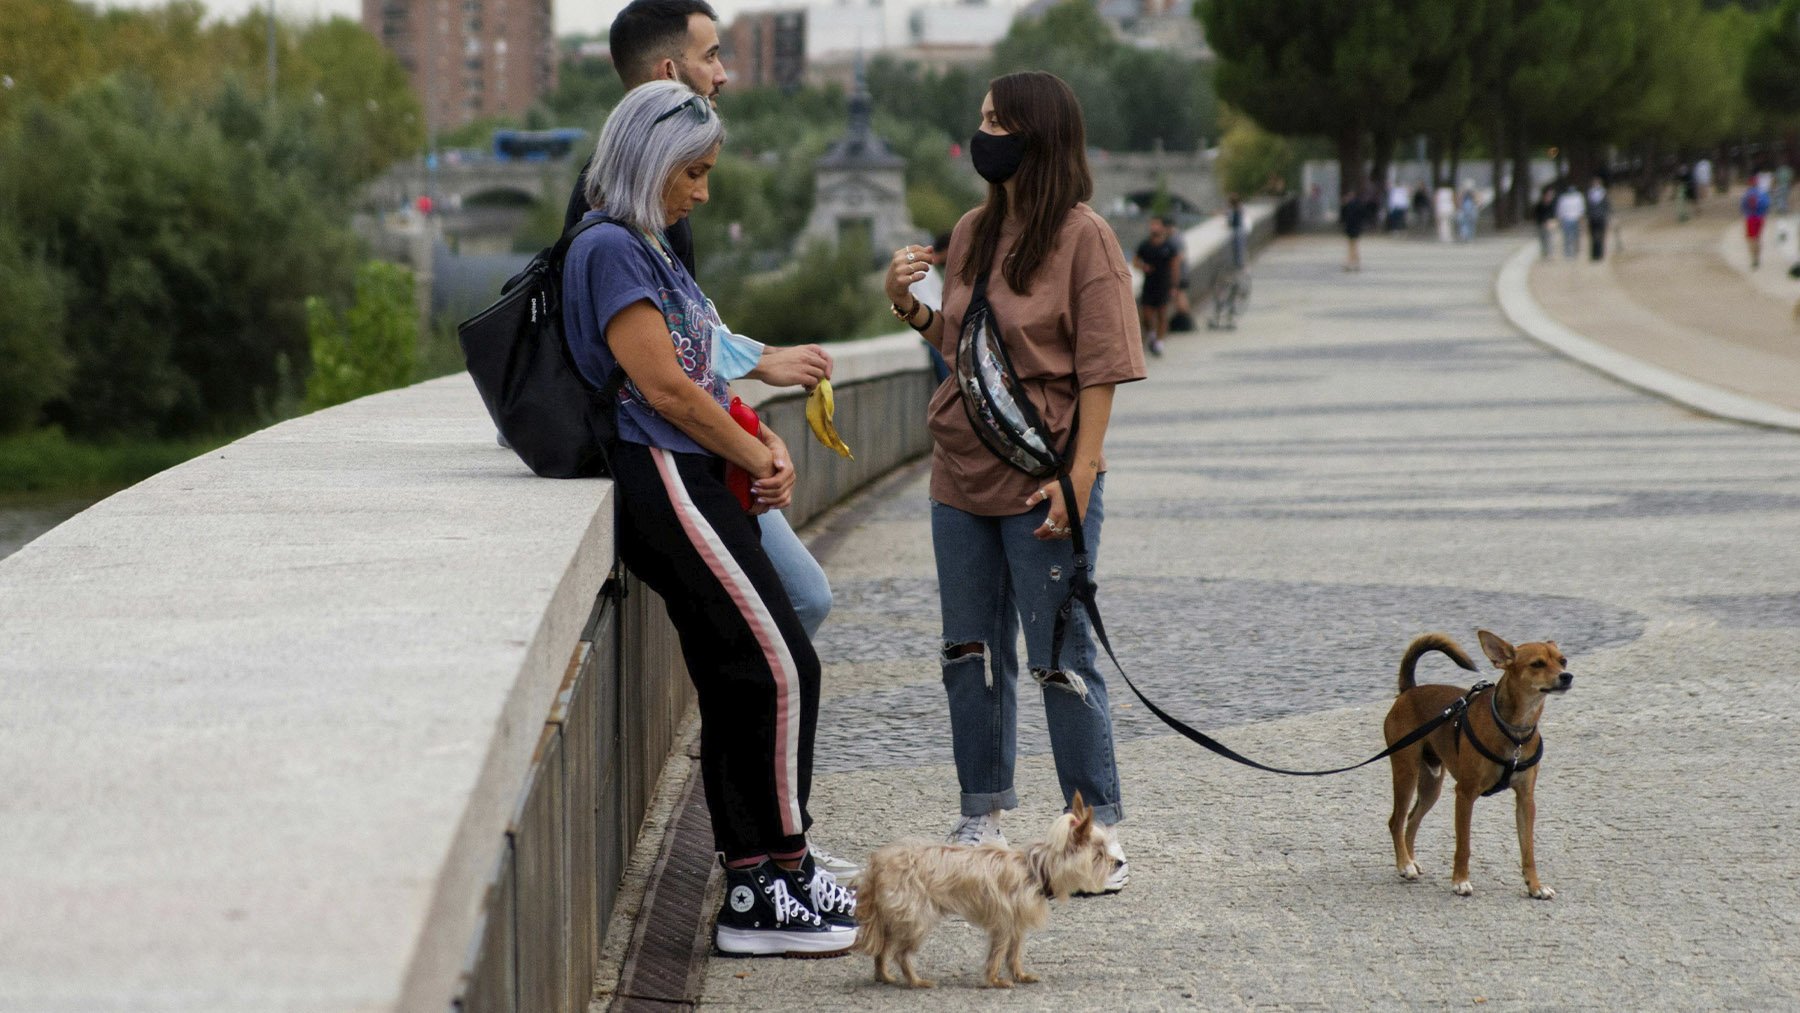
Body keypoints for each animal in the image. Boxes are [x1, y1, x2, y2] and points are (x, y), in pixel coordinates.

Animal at [1382, 629, 1569, 899]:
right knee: (1396, 821)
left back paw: (1410, 861)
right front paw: (1460, 881)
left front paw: (1535, 886)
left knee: (1411, 820)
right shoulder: (1465, 794)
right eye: (1537, 664)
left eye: (1563, 661)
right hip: (1406, 772)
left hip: (1430, 785)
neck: (1514, 731)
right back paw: (1404, 865)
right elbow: (1464, 845)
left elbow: (1528, 850)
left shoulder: (1525, 800)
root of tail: (1409, 691)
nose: (1567, 676)